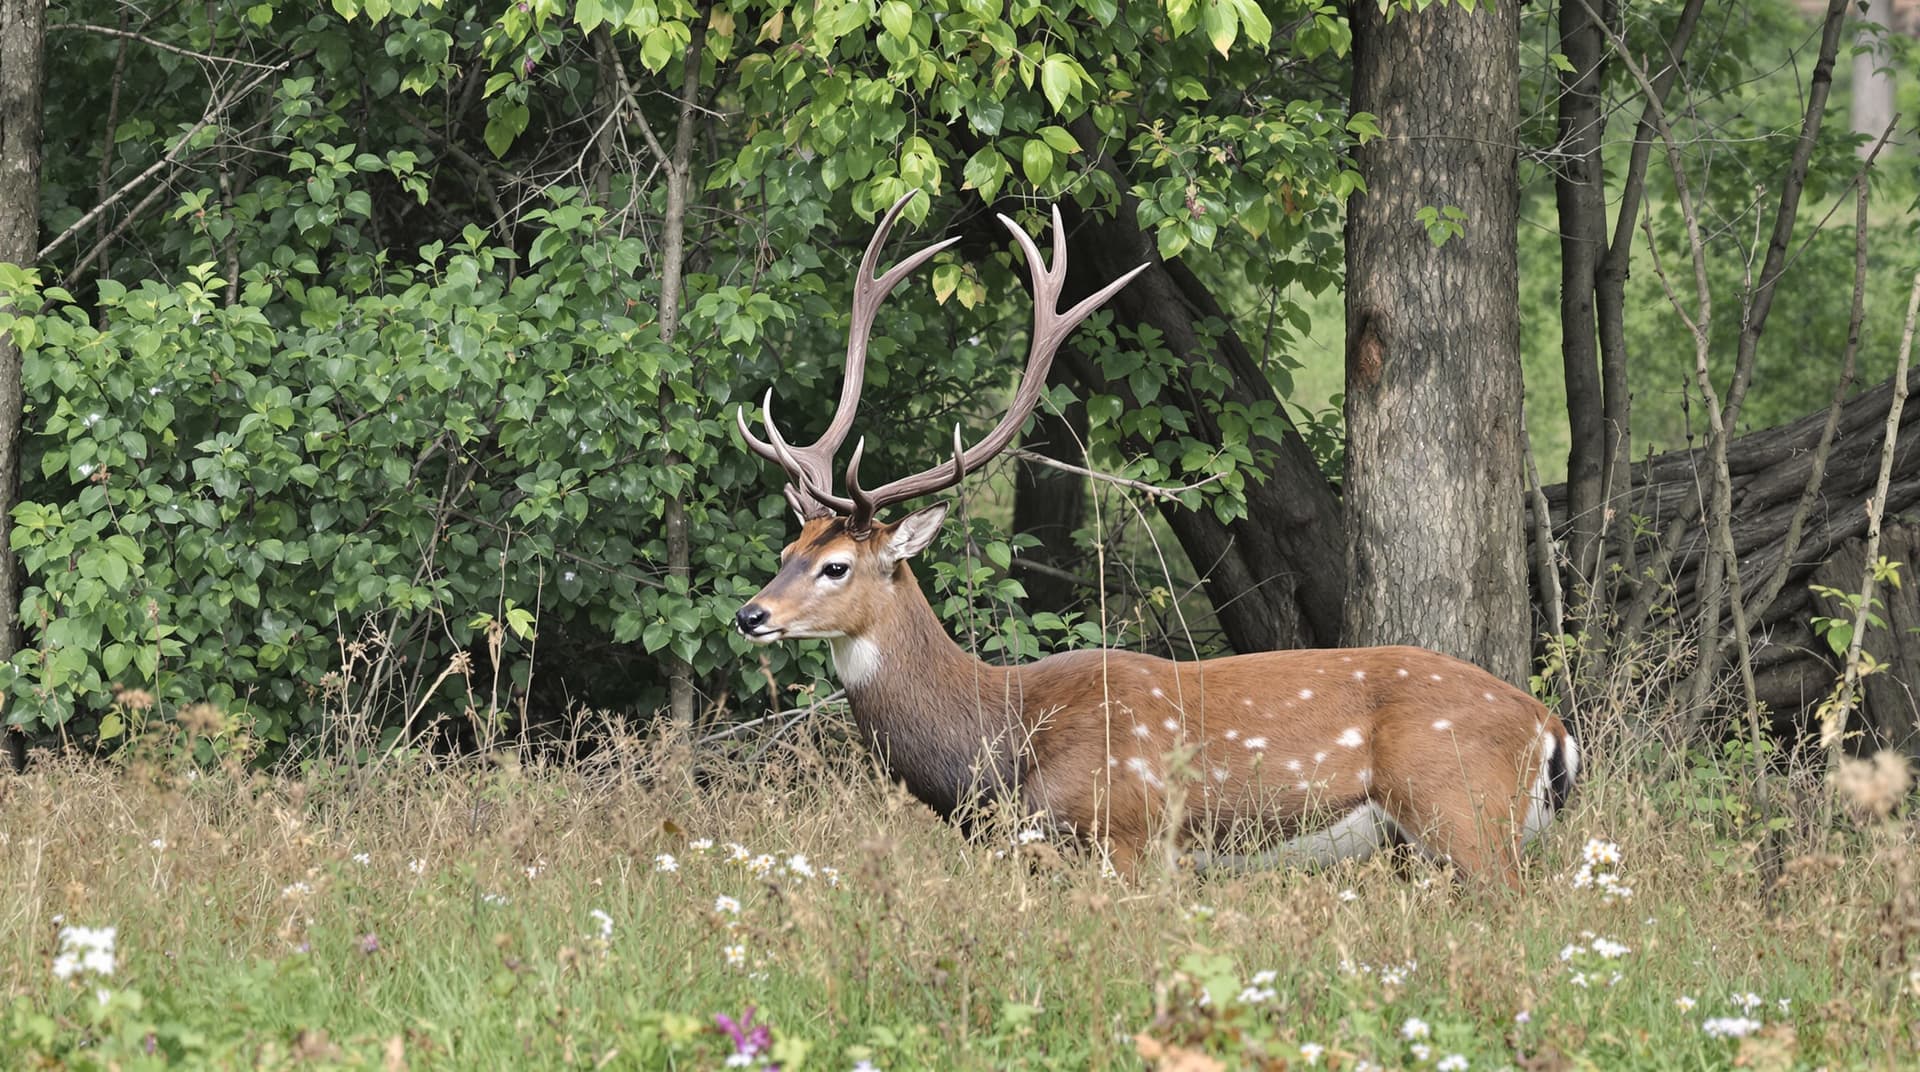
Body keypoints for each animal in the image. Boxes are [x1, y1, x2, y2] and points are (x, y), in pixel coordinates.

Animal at [732, 192, 1579, 887]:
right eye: (785, 554)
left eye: (838, 566)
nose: (750, 614)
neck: (998, 747)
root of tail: (1552, 731)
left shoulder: (1128, 835)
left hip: (1462, 811)